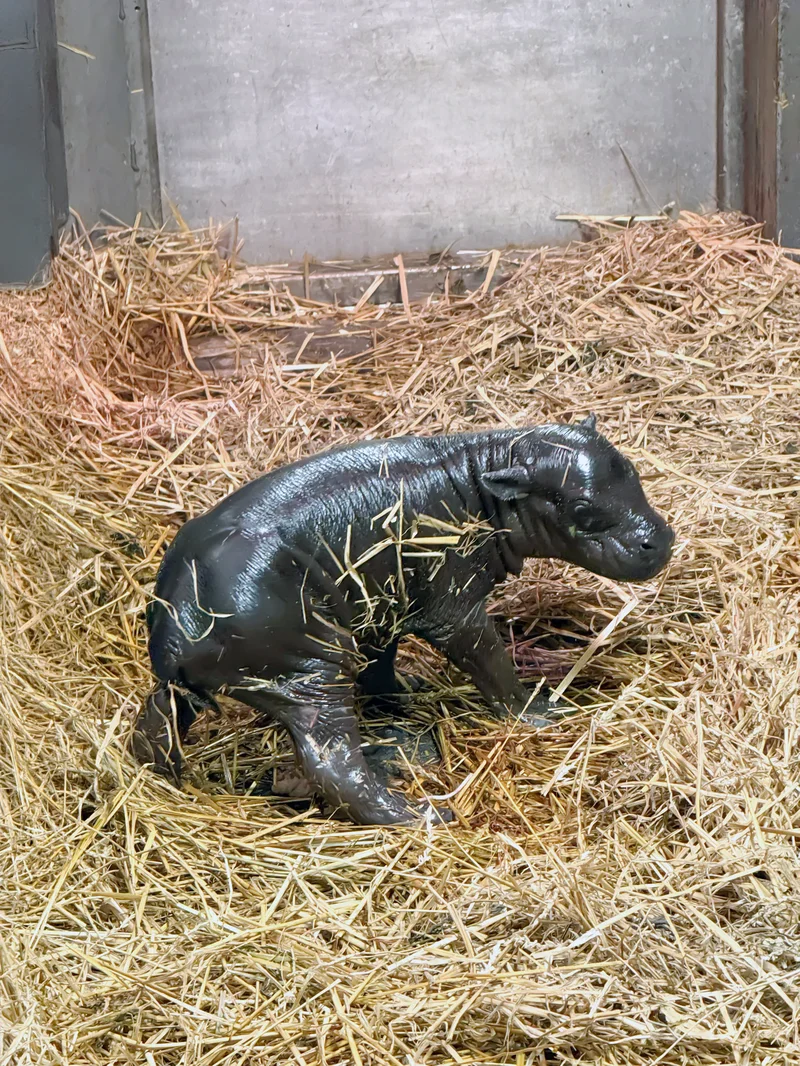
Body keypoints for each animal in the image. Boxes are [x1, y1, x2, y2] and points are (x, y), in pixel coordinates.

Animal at [131, 416, 673, 825]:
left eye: (631, 470)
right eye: (581, 507)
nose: (661, 540)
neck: (481, 474)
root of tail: (175, 630)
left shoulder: (383, 605)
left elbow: (381, 663)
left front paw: (402, 696)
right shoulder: (453, 609)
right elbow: (490, 662)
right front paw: (539, 713)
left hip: (200, 684)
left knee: (157, 720)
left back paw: (163, 778)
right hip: (311, 674)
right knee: (334, 765)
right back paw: (423, 814)